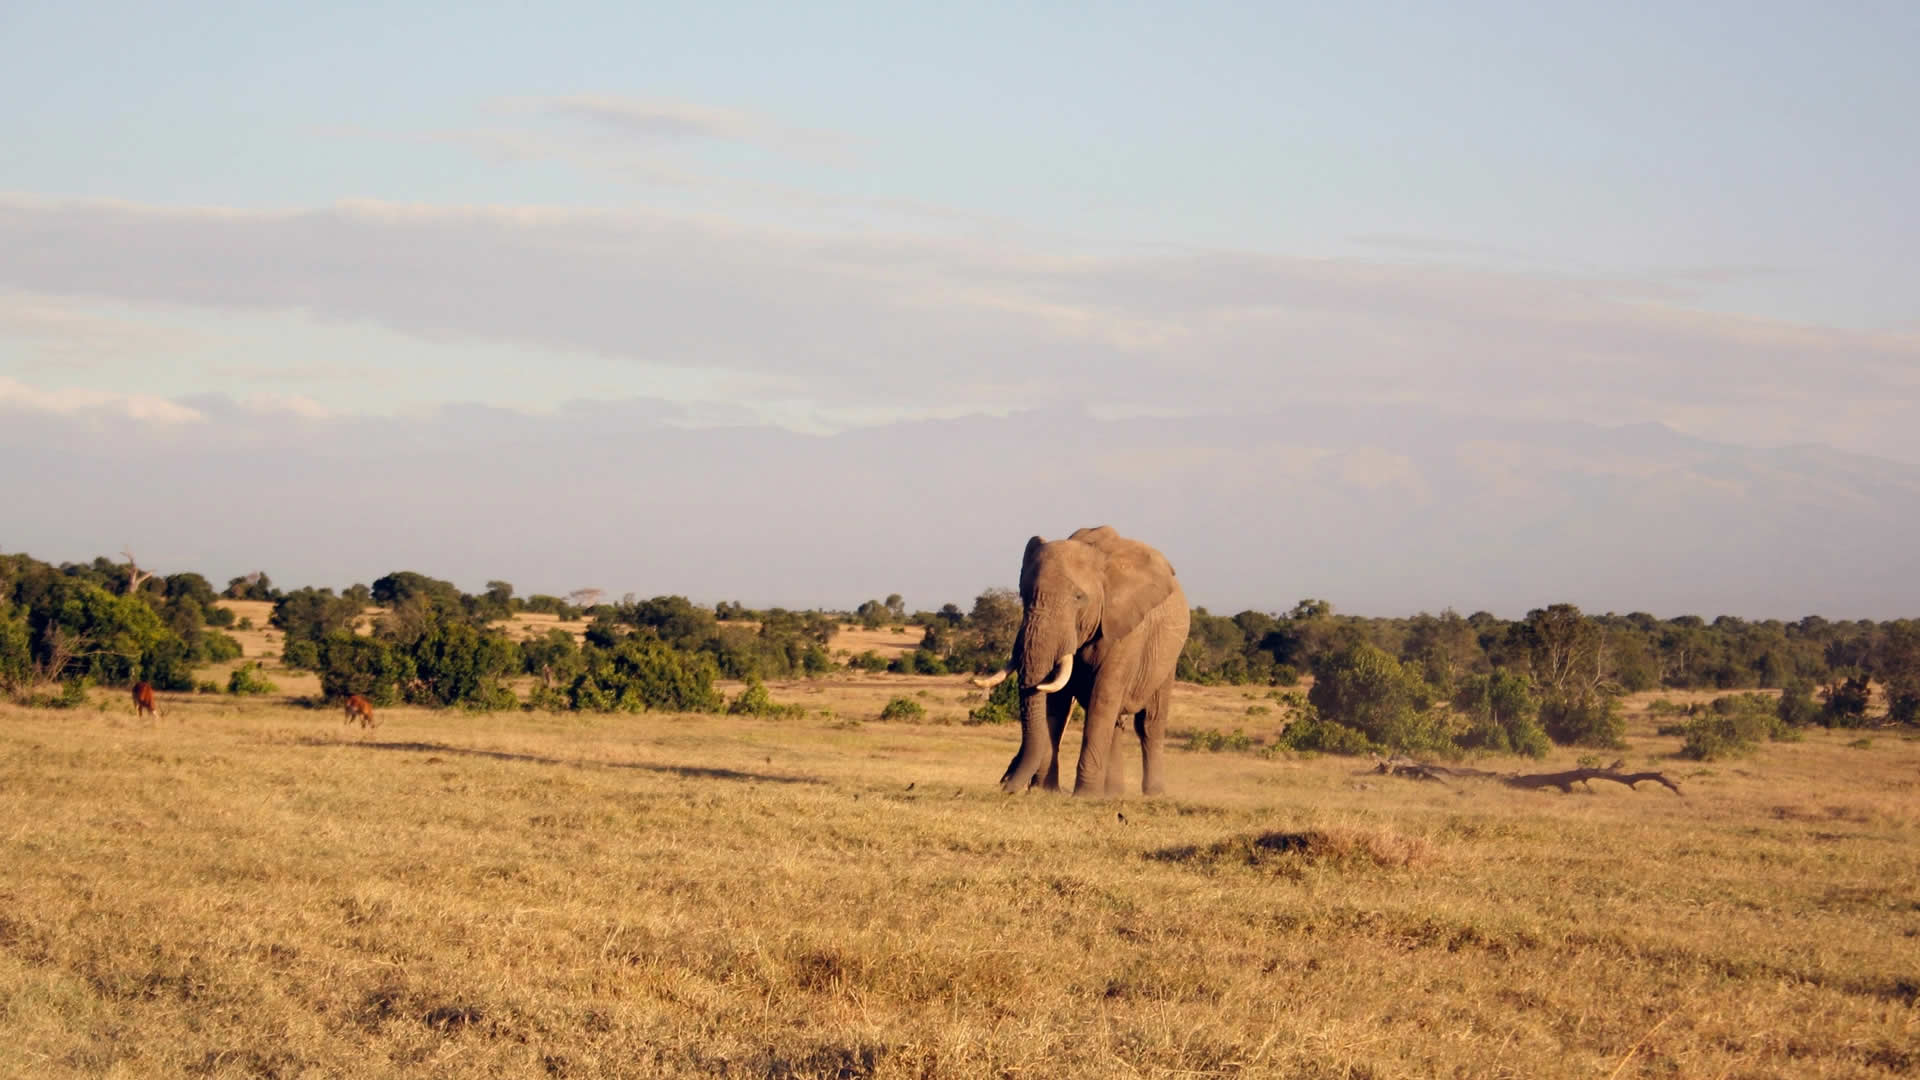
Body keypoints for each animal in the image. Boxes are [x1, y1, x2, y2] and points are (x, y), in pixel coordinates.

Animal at [974, 526, 1190, 797]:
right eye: (1023, 594)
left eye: (1079, 597)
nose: (1005, 785)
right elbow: (1057, 700)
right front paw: (1047, 791)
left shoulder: (1126, 629)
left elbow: (1102, 697)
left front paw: (1084, 795)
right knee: (1116, 722)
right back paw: (1113, 794)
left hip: (1168, 656)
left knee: (1149, 723)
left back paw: (1153, 793)